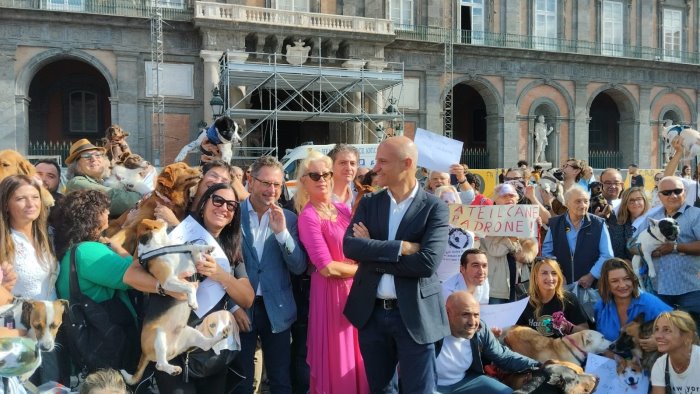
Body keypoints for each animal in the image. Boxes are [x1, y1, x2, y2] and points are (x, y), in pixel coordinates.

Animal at [120, 219, 227, 384]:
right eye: (155, 220)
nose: (162, 218)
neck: (162, 247)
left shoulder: (193, 263)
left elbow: (192, 247)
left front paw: (206, 247)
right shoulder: (168, 281)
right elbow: (190, 286)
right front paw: (193, 302)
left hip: (190, 332)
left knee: (205, 345)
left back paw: (221, 335)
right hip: (158, 335)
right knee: (159, 364)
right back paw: (173, 369)